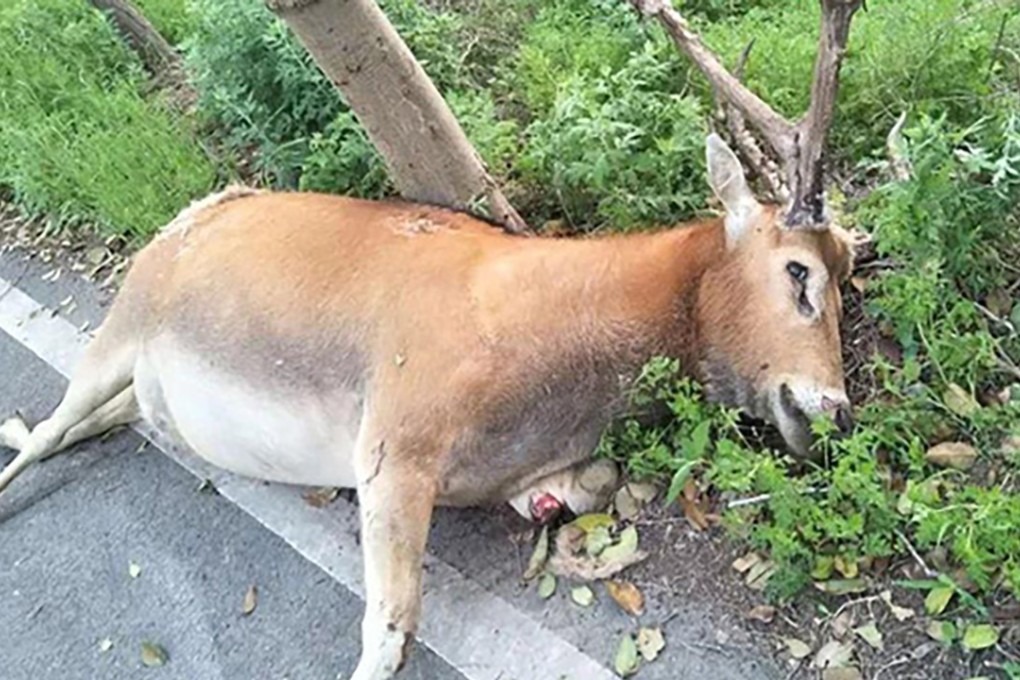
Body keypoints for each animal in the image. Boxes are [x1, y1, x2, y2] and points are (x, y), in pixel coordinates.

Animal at [0, 1, 864, 678]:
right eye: (798, 274)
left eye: (846, 278)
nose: (835, 410)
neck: (556, 350)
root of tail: (195, 209)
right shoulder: (394, 434)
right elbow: (388, 634)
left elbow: (592, 485)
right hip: (127, 314)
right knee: (52, 428)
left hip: (148, 384)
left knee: (99, 419)